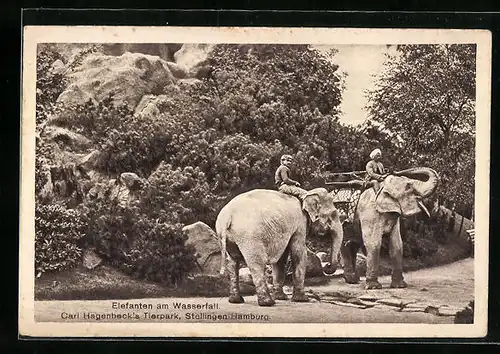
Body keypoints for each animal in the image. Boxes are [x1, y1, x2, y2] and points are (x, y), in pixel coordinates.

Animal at [215, 188, 344, 306]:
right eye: (332, 215)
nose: (327, 265)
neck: (306, 194)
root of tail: (227, 215)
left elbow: (281, 258)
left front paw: (281, 297)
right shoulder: (300, 225)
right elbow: (299, 253)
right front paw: (302, 299)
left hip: (230, 237)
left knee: (232, 262)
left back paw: (235, 300)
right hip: (250, 237)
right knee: (257, 264)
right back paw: (268, 303)